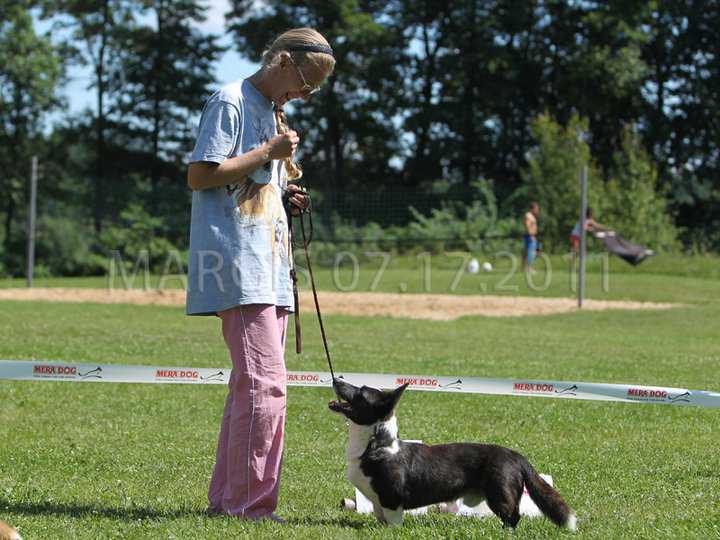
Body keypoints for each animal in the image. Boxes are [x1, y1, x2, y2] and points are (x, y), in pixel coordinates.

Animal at [330, 378, 576, 528]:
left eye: (361, 392)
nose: (336, 379)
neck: (375, 444)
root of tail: (516, 455)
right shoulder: (377, 502)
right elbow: (379, 516)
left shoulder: (391, 499)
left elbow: (393, 521)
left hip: (500, 493)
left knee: (513, 517)